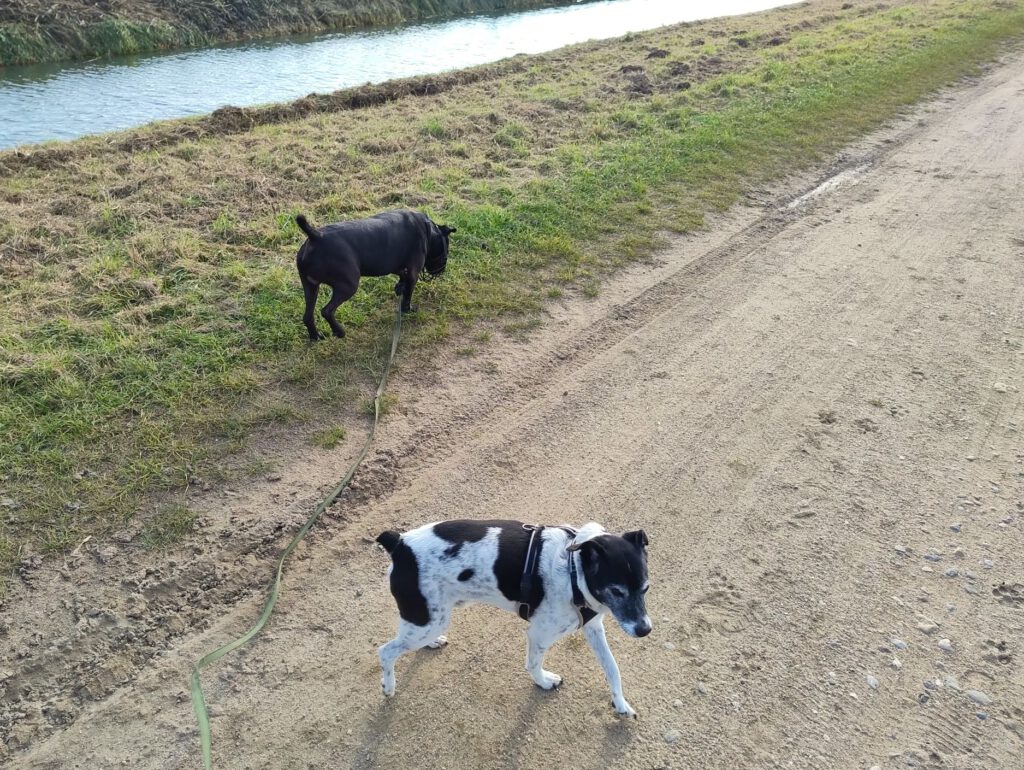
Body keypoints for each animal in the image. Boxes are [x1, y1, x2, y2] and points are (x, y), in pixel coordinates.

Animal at [296, 211, 456, 341]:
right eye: (446, 253)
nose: (442, 270)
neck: (430, 231)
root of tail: (316, 237)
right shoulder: (413, 273)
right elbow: (408, 294)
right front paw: (407, 309)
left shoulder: (393, 265)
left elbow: (401, 275)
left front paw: (400, 286)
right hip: (348, 285)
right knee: (327, 311)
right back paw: (339, 332)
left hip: (310, 287)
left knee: (308, 316)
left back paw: (315, 336)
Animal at [374, 520, 647, 720]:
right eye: (616, 591)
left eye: (645, 588)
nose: (645, 630)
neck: (573, 567)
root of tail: (399, 543)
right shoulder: (539, 635)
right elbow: (533, 664)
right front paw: (544, 682)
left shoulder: (593, 627)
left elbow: (612, 669)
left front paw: (621, 705)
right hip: (426, 623)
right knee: (386, 651)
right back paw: (388, 687)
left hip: (428, 621)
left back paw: (432, 644)